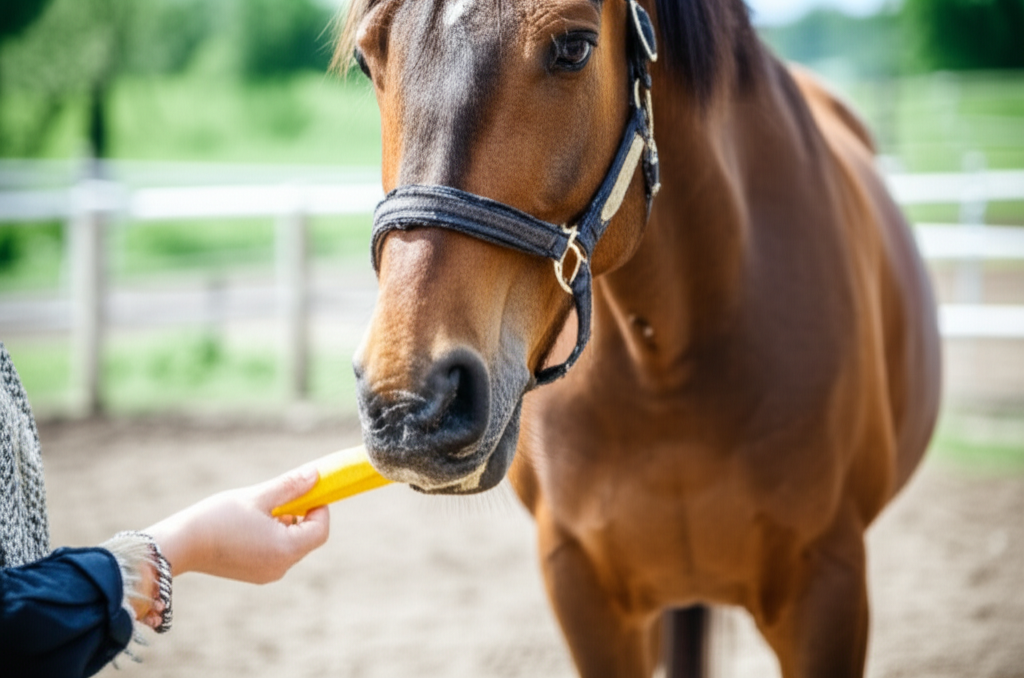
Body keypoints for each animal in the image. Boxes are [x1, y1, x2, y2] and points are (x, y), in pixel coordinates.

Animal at [338, 0, 942, 675]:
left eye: (574, 48)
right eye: (366, 59)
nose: (410, 405)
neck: (669, 365)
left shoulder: (829, 587)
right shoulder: (584, 590)